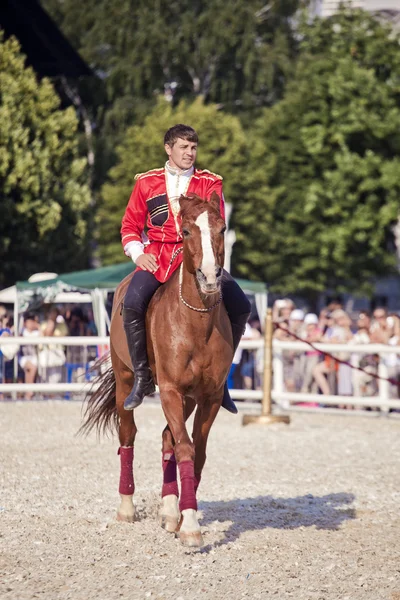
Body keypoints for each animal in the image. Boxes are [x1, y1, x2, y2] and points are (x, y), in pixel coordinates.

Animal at [79, 193, 233, 548]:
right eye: (186, 231)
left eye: (222, 228)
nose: (210, 277)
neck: (196, 321)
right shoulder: (171, 389)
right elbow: (186, 447)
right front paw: (190, 527)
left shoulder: (209, 397)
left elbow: (196, 451)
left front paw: (182, 517)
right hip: (126, 381)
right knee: (128, 435)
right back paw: (127, 507)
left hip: (187, 398)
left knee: (166, 439)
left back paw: (169, 511)